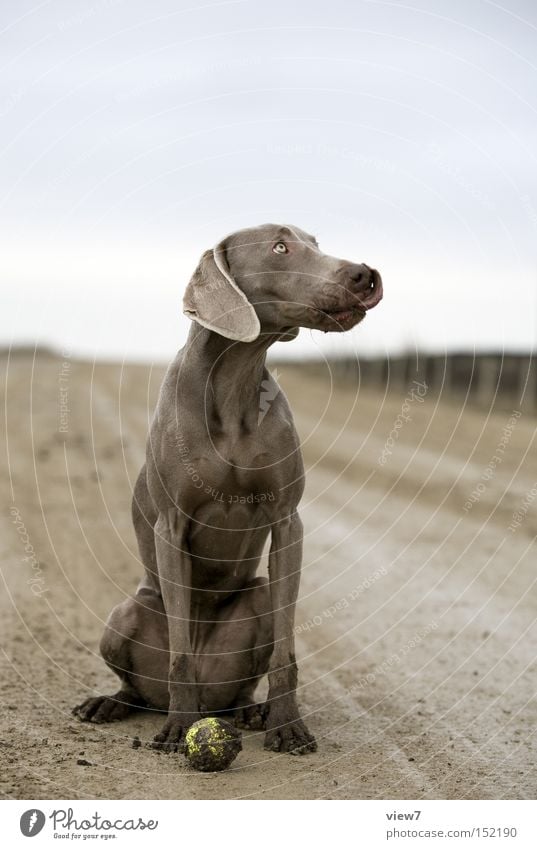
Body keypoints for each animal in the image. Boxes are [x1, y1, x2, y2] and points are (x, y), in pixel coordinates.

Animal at [73, 222, 382, 752]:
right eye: (280, 246)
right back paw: (116, 704)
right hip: (127, 610)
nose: (364, 273)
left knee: (241, 682)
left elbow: (286, 654)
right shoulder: (171, 527)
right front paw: (179, 729)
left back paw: (251, 711)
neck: (234, 381)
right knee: (139, 683)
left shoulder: (287, 521)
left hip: (257, 602)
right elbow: (178, 652)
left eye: (316, 243)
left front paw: (287, 724)